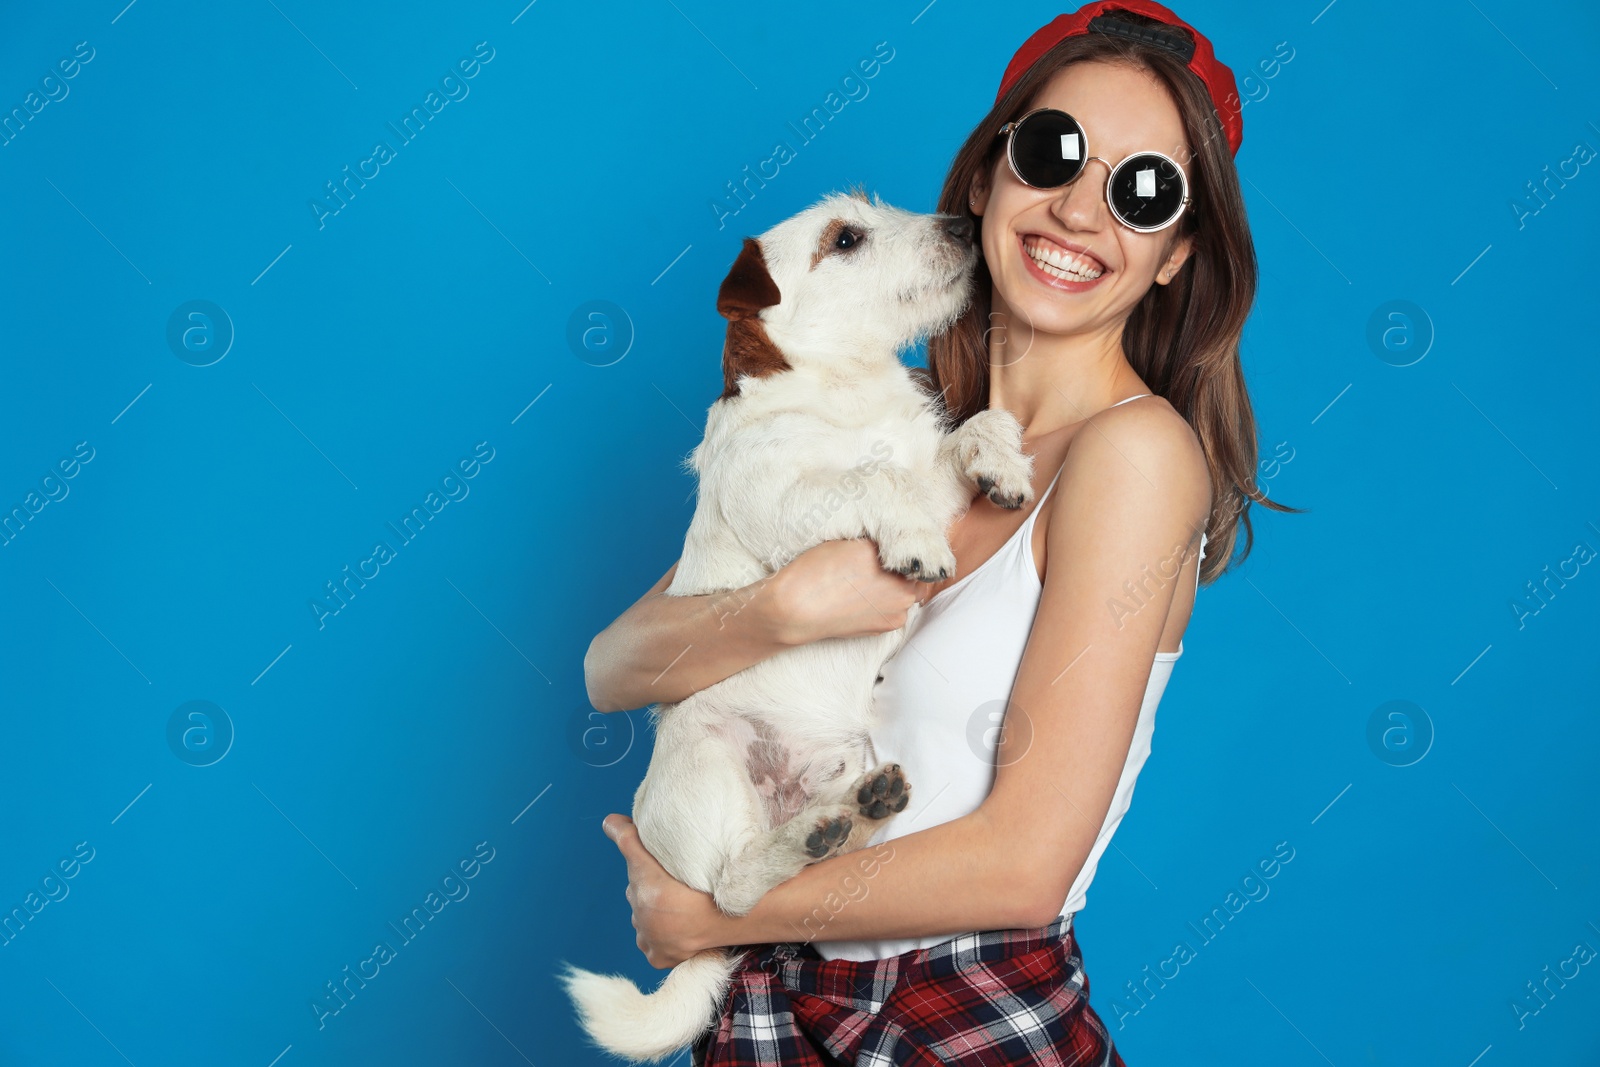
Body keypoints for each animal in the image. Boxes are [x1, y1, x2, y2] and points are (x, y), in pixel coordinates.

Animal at [563, 189, 1030, 1062]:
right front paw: (915, 542)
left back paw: (854, 812)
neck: (844, 388)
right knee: (734, 887)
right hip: (707, 764)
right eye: (844, 238)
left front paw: (1005, 463)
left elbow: (969, 432)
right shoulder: (792, 503)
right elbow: (877, 480)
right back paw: (801, 839)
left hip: (862, 759)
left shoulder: (933, 473)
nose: (960, 223)